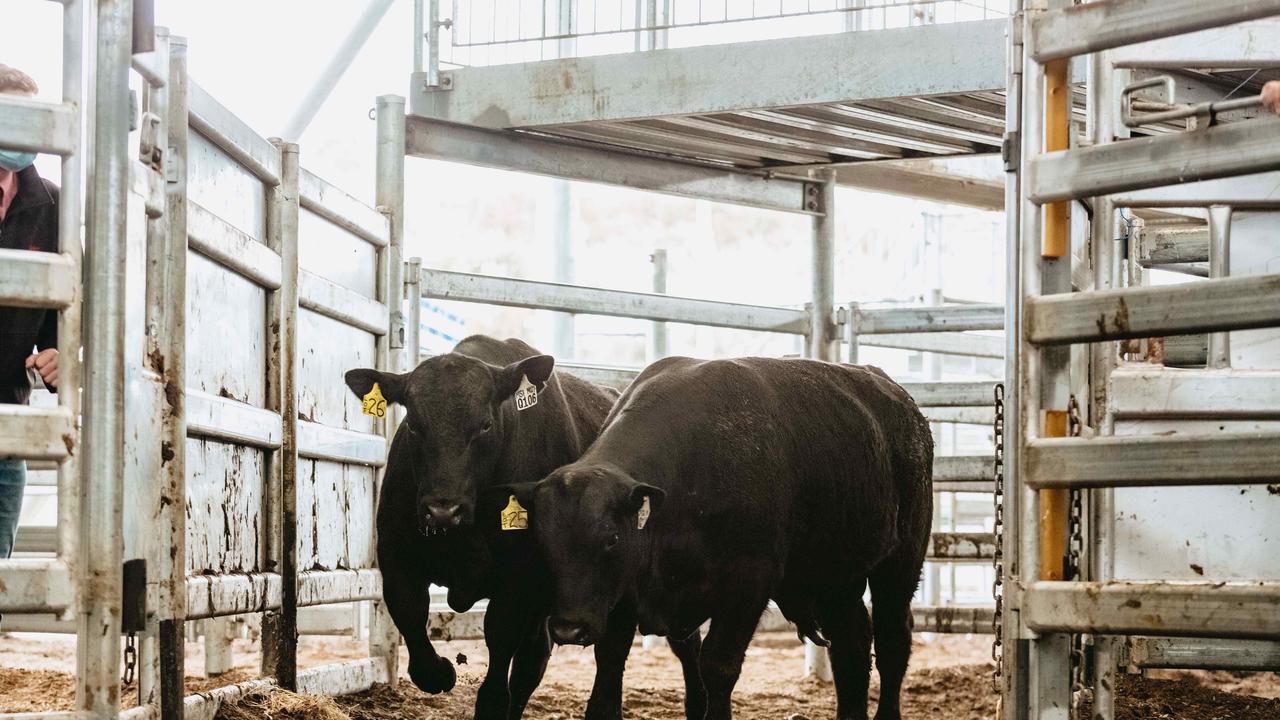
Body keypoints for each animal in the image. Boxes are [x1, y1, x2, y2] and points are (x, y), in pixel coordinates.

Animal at [504, 353, 936, 717]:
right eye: (542, 542)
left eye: (611, 538)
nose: (568, 628)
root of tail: (901, 402)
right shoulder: (624, 593)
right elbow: (609, 665)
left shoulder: (747, 587)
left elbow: (717, 667)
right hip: (834, 576)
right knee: (852, 646)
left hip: (901, 561)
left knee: (893, 640)